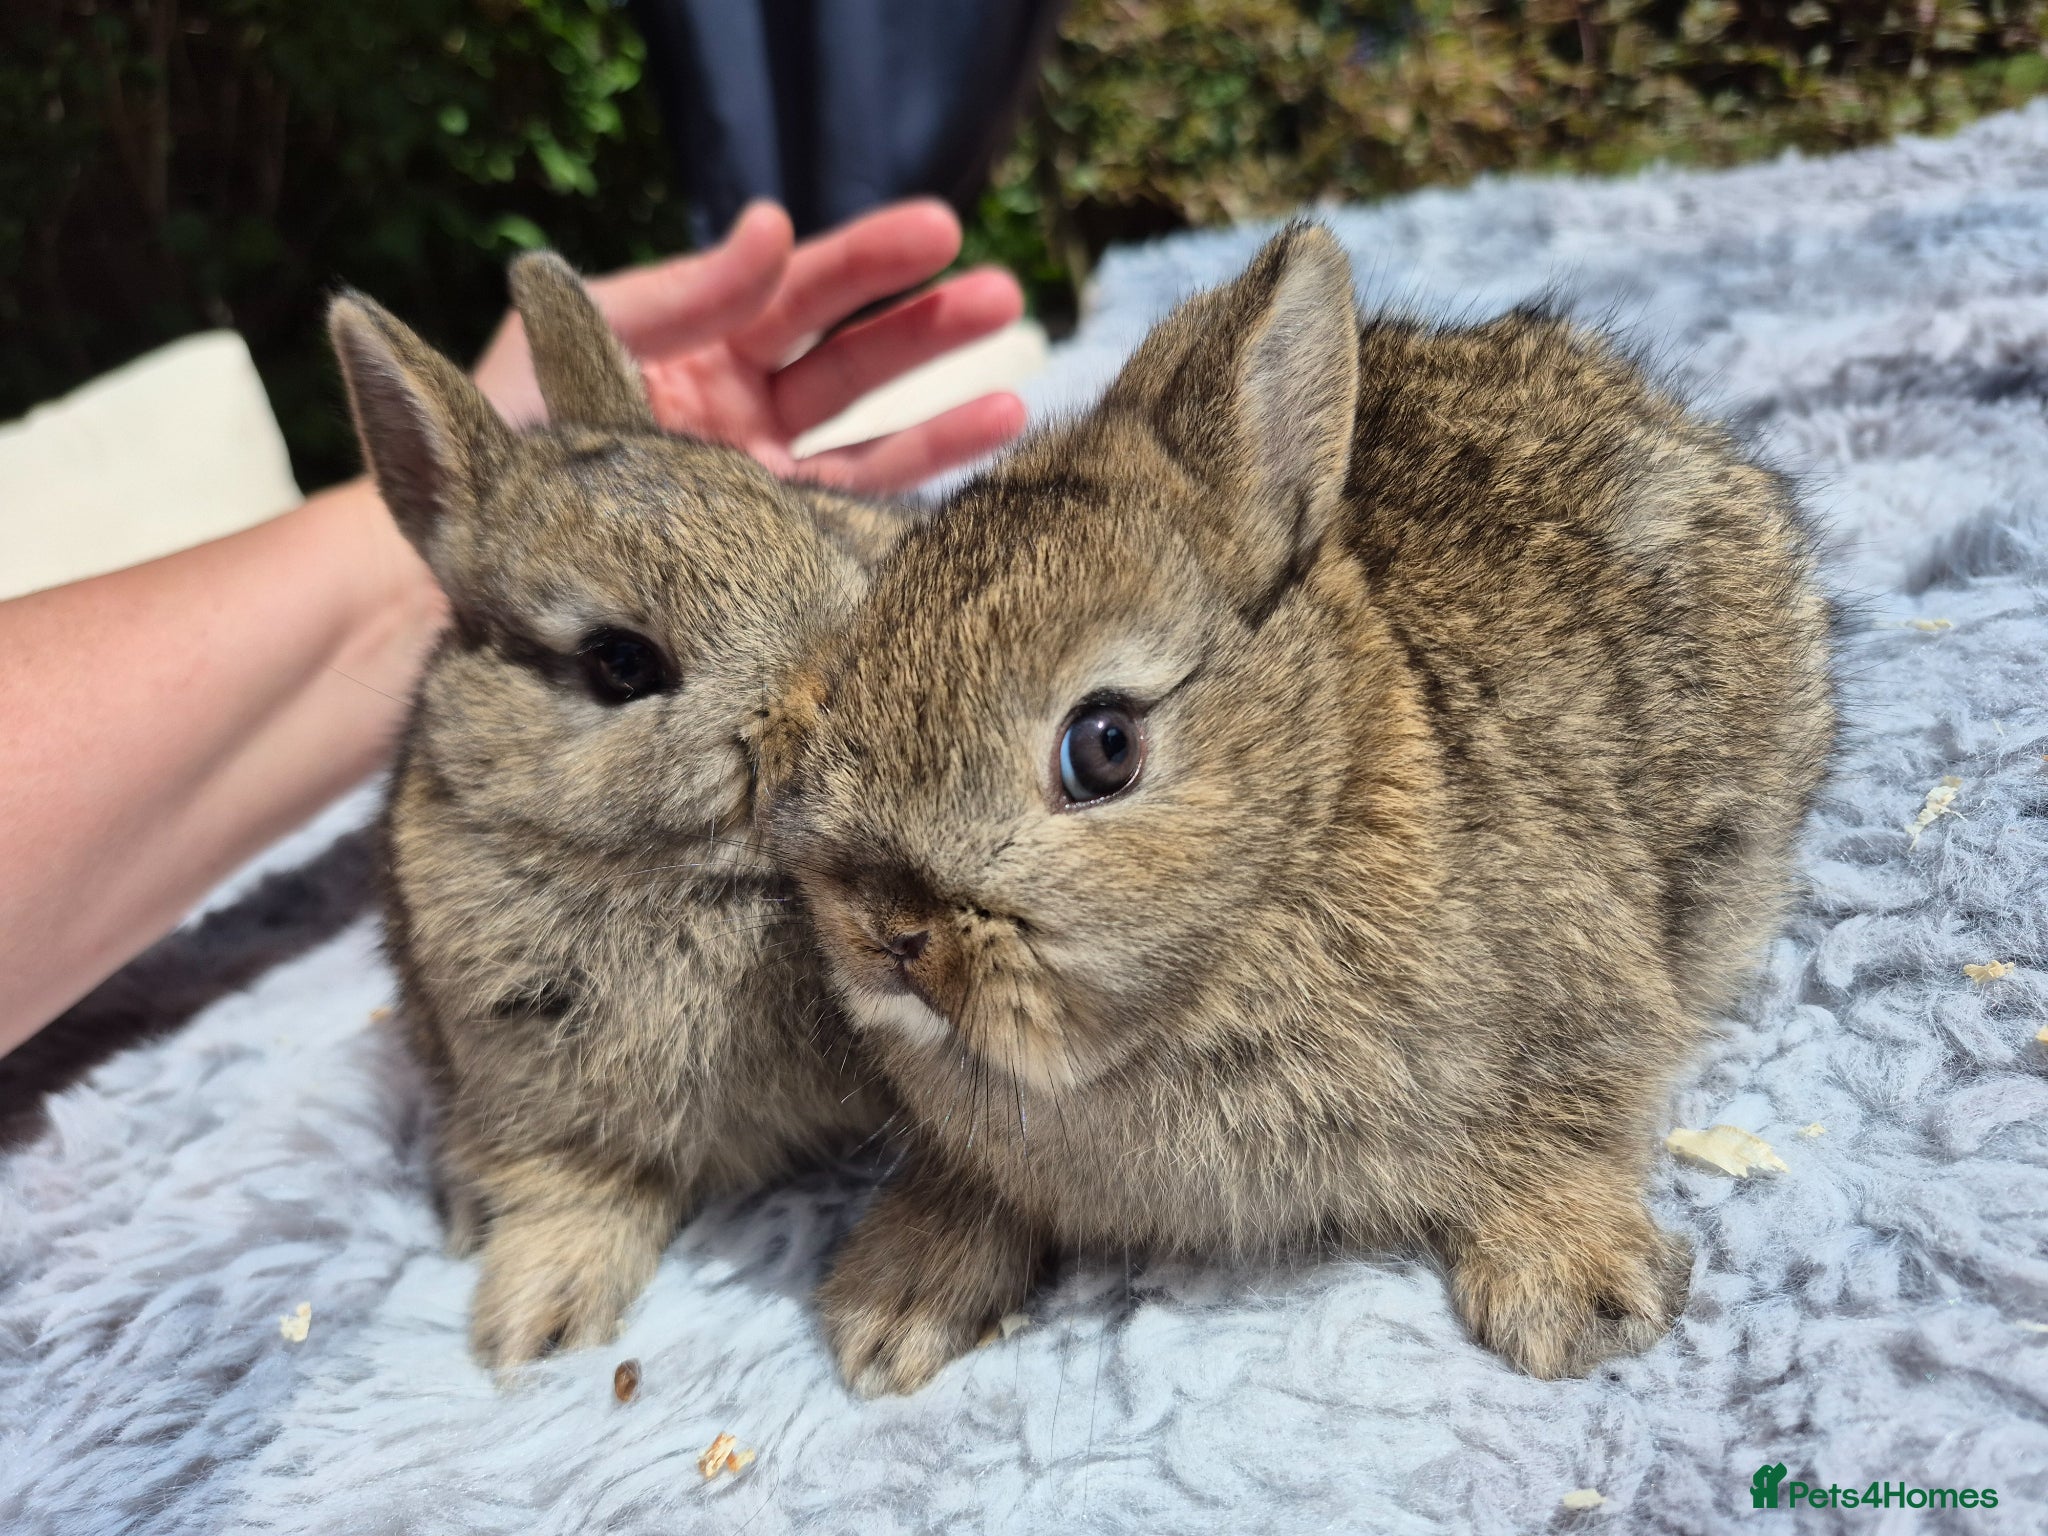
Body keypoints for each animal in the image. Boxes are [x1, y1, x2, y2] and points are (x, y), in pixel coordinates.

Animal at [761, 222, 1836, 1395]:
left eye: (1102, 748)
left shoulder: (1581, 1012)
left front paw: (1576, 1297)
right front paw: (891, 1310)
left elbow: (1565, 1130)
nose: (886, 930)